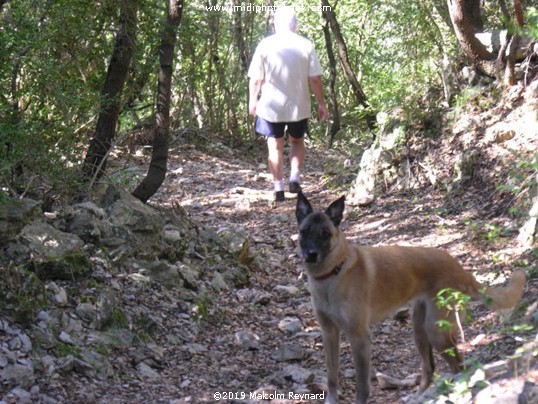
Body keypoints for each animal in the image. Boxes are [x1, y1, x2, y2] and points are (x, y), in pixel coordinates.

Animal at [294, 193, 524, 404]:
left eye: (325, 234)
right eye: (304, 232)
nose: (311, 254)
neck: (333, 272)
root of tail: (458, 267)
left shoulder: (358, 336)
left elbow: (362, 385)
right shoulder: (329, 333)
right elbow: (332, 377)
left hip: (436, 331)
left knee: (459, 366)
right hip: (420, 330)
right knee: (430, 368)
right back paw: (419, 397)